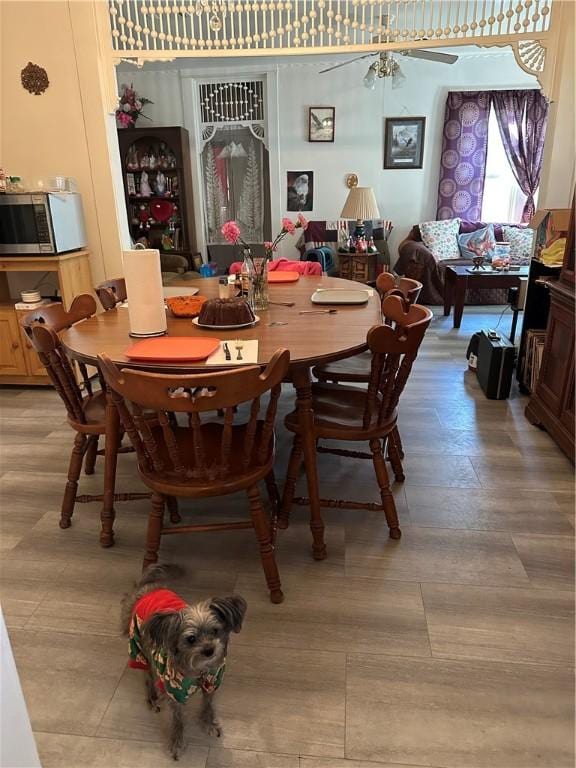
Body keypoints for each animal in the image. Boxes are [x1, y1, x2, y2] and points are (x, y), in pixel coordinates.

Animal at [120, 564, 246, 760]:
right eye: (191, 639)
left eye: (215, 631)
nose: (209, 650)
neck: (200, 671)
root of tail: (146, 587)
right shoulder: (175, 693)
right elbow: (177, 720)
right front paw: (177, 743)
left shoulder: (212, 683)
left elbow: (208, 704)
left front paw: (208, 723)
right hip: (139, 647)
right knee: (147, 675)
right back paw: (152, 697)